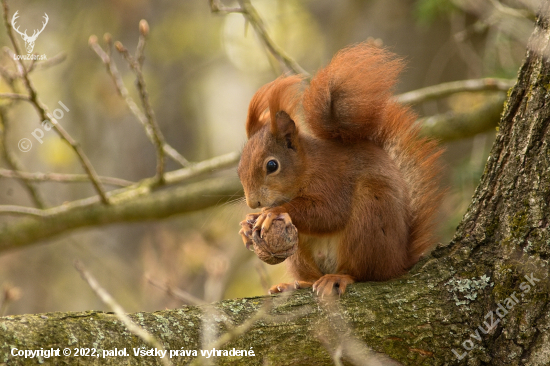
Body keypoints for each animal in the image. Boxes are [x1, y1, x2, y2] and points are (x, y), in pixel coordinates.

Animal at [237, 41, 444, 296]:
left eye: (272, 165)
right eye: (239, 167)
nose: (253, 202)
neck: (307, 167)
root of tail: (398, 262)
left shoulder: (332, 179)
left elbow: (330, 213)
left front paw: (274, 212)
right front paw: (247, 224)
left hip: (369, 218)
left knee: (363, 273)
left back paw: (339, 277)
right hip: (302, 256)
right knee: (311, 274)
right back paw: (296, 283)